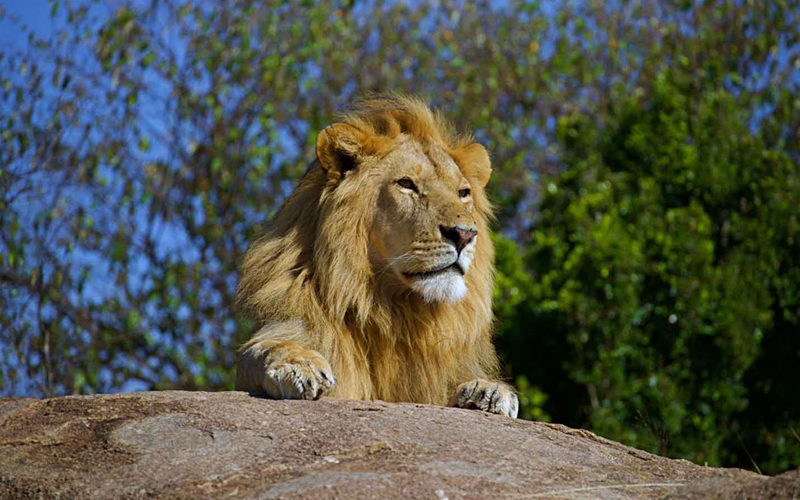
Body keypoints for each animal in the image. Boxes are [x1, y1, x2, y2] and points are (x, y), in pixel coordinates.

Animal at [233, 94, 520, 418]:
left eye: (463, 193)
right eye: (406, 184)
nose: (464, 235)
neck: (397, 309)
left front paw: (488, 390)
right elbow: (263, 349)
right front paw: (298, 365)